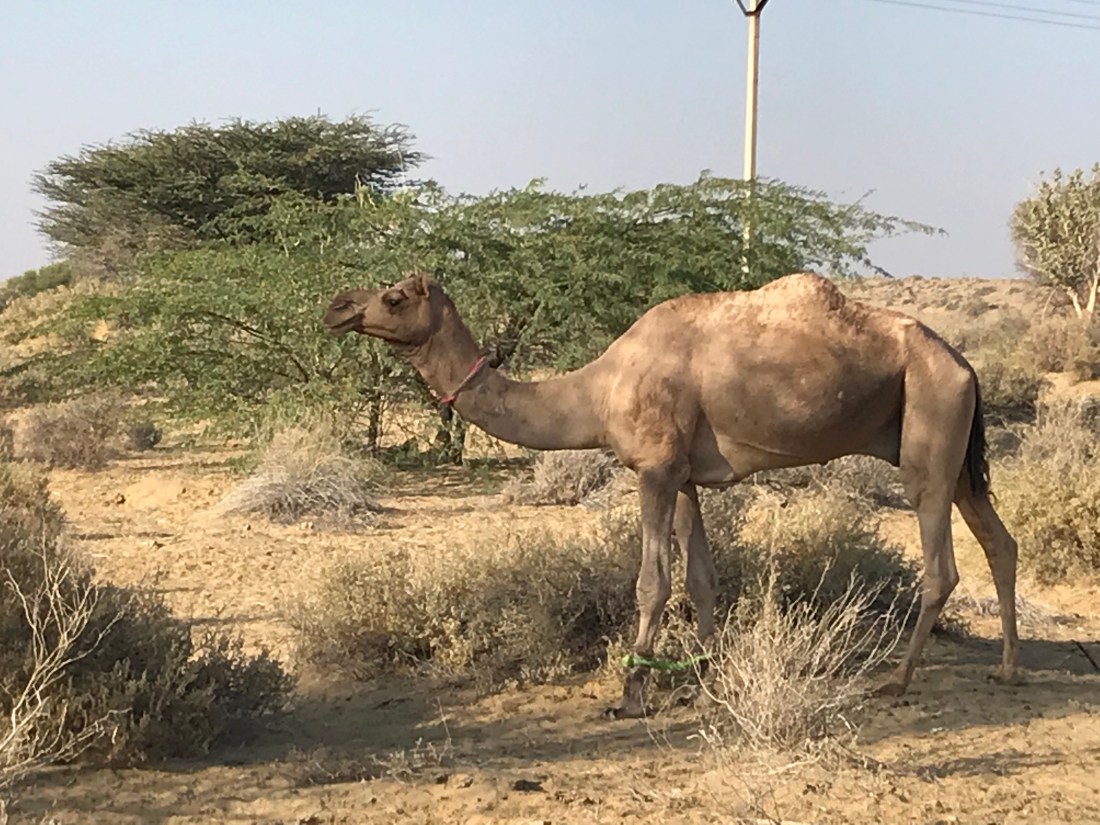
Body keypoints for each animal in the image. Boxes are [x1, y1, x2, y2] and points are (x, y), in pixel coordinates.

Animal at [323, 271, 1020, 718]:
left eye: (392, 297)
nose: (336, 306)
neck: (597, 390)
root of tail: (965, 363)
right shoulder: (685, 474)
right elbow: (701, 578)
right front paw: (700, 680)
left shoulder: (654, 469)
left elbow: (652, 581)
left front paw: (631, 694)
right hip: (952, 444)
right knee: (1000, 541)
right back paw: (1007, 667)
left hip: (930, 424)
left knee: (940, 563)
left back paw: (895, 682)